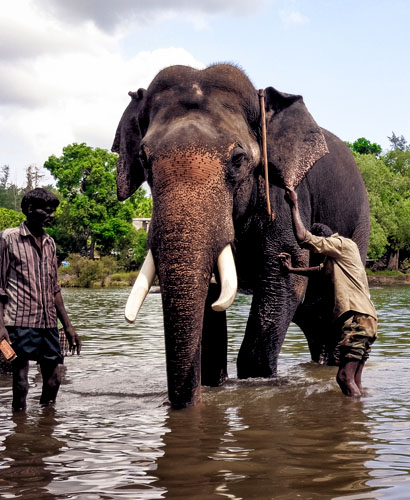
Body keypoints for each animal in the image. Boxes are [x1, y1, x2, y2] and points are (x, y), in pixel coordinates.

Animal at [111, 63, 368, 410]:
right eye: (143, 159)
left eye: (238, 160)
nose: (178, 406)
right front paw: (210, 383)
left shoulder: (278, 192)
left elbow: (284, 277)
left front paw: (256, 381)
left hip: (360, 227)